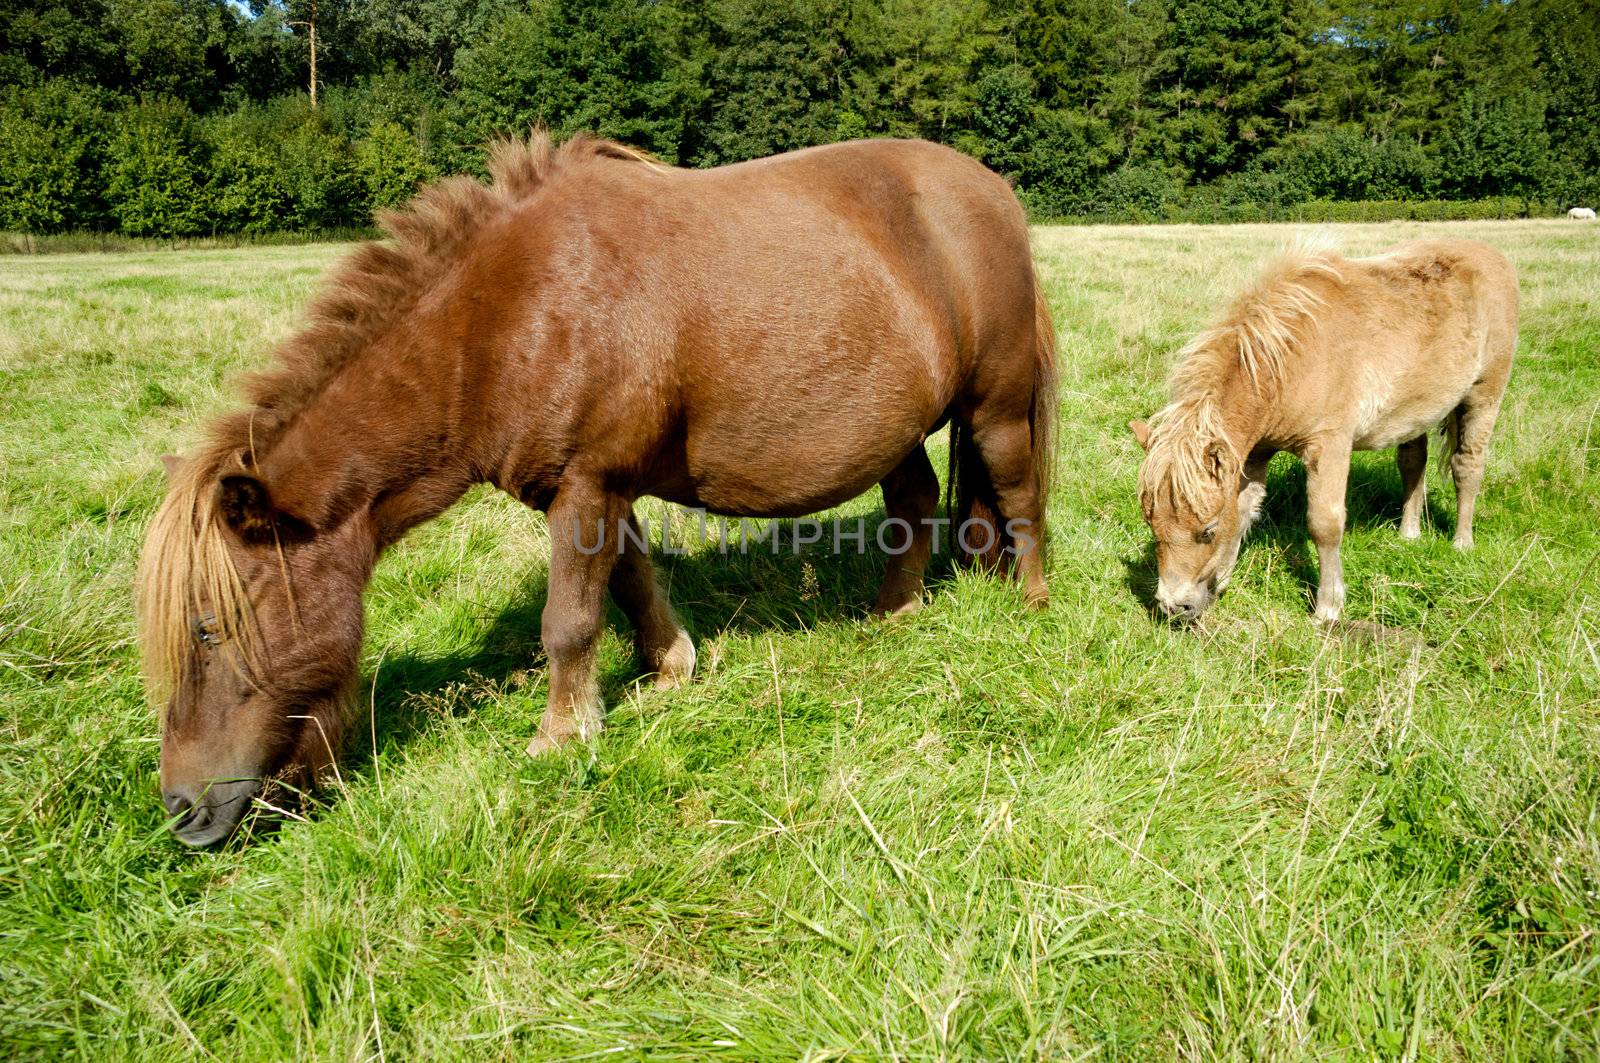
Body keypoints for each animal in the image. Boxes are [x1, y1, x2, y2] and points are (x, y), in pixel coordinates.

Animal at [137, 132, 1056, 845]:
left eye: (210, 628)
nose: (182, 809)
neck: (505, 317)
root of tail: (992, 189)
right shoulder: (595, 490)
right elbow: (631, 580)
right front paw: (670, 669)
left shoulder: (586, 482)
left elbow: (570, 620)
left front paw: (560, 735)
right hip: (898, 426)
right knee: (914, 503)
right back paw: (895, 611)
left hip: (995, 403)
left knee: (1017, 497)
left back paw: (1033, 605)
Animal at [1132, 240, 1516, 624]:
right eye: (1152, 524)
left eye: (1207, 530)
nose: (1174, 607)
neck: (1290, 361)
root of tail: (1492, 256)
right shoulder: (1254, 453)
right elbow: (1242, 511)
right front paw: (1223, 580)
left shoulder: (1329, 444)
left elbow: (1325, 524)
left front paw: (1328, 607)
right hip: (1414, 412)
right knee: (1413, 463)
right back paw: (1409, 534)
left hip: (1484, 396)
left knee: (1467, 466)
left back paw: (1462, 542)